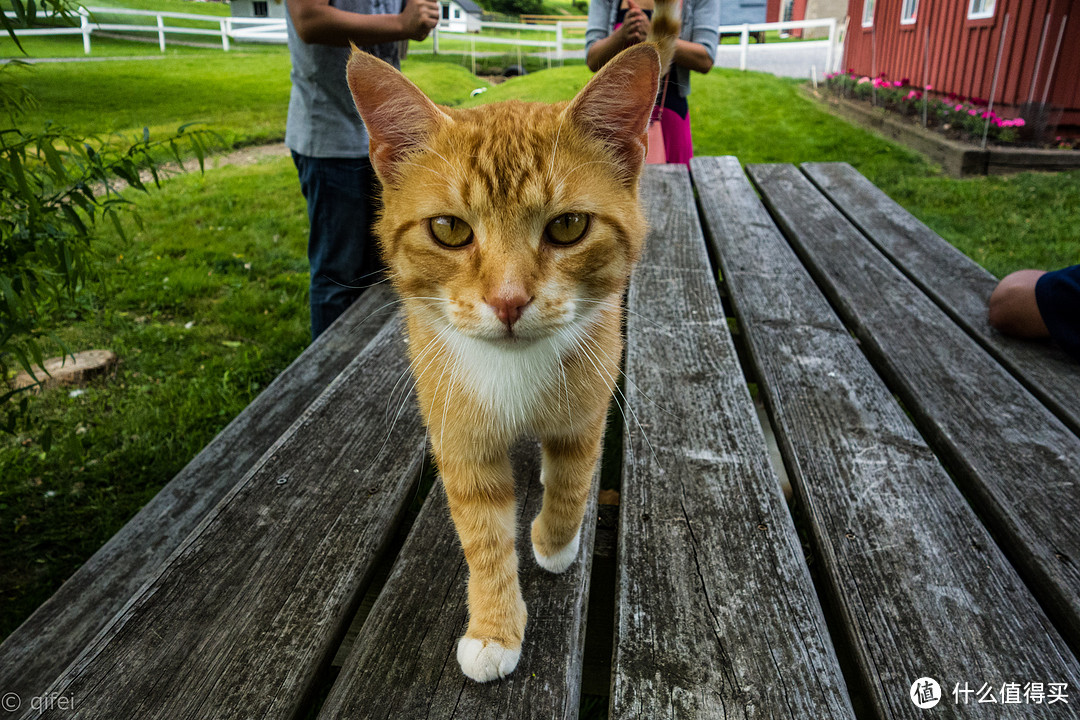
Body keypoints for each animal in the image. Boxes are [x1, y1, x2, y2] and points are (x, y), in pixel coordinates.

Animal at [347, 5, 673, 682]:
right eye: (449, 229)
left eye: (568, 226)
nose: (508, 301)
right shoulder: (461, 438)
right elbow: (484, 537)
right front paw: (495, 630)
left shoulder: (585, 408)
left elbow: (573, 480)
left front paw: (554, 542)